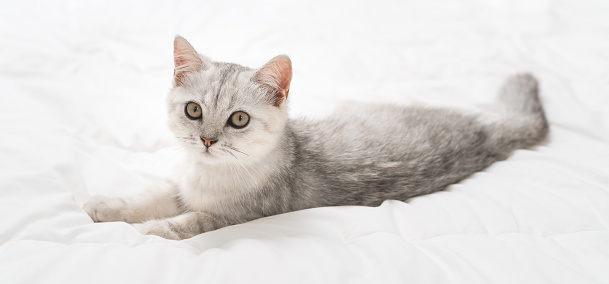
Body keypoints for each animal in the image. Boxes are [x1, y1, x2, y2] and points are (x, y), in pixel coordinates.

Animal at [82, 35, 548, 240]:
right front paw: (104, 207)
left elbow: (189, 222)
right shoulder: (179, 186)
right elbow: (146, 197)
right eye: (193, 111)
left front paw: (151, 231)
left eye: (238, 119)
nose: (208, 141)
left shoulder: (236, 215)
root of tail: (485, 133)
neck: (209, 174)